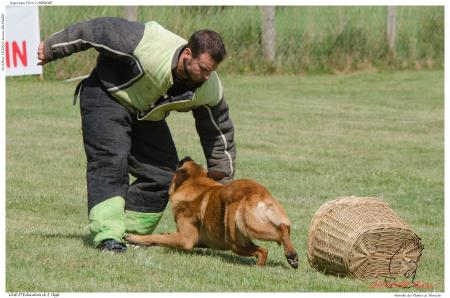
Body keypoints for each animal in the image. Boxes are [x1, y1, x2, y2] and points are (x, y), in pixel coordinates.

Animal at [125, 156, 298, 268]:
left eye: (182, 163)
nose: (186, 156)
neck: (195, 183)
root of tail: (258, 192)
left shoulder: (185, 239)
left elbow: (156, 237)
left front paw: (134, 238)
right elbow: (163, 237)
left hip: (241, 233)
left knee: (279, 232)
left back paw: (291, 255)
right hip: (243, 237)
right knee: (265, 248)